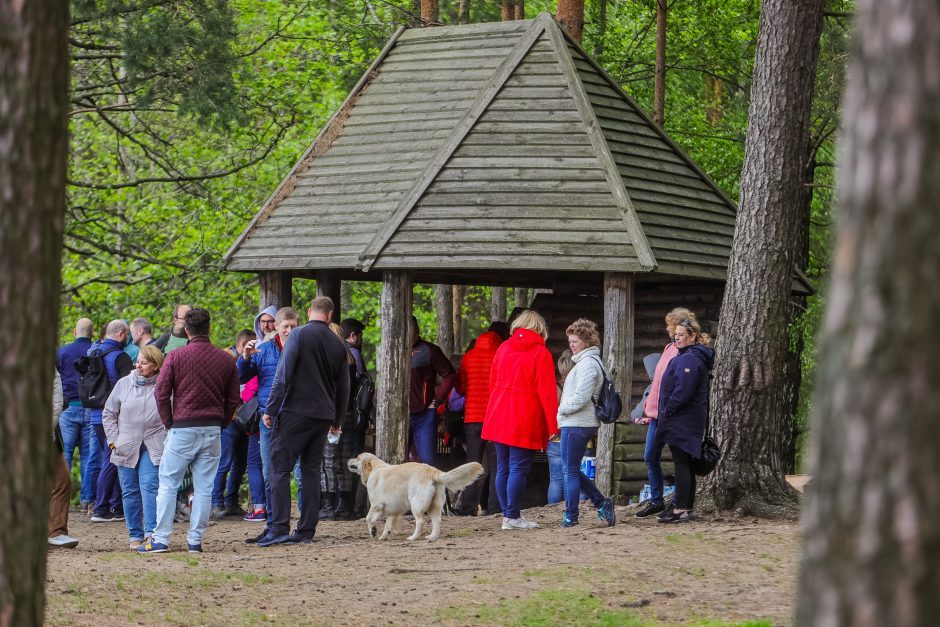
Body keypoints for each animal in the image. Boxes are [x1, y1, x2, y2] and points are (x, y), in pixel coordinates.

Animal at [348, 454, 488, 544]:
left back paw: (413, 537)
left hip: (416, 504)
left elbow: (368, 519)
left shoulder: (376, 505)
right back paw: (432, 537)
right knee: (437, 521)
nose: (348, 460)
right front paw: (383, 536)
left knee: (420, 521)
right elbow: (388, 525)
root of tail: (433, 471)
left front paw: (373, 531)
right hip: (433, 506)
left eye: (358, 458)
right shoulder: (394, 511)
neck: (375, 468)